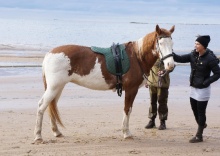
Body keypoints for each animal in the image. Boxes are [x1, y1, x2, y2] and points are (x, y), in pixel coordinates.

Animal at [34, 24, 175, 143]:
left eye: (172, 43)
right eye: (160, 43)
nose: (170, 65)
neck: (136, 56)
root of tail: (49, 54)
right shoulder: (131, 90)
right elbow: (127, 109)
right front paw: (126, 133)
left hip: (58, 88)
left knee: (51, 105)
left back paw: (56, 132)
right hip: (54, 87)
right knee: (41, 106)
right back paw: (38, 136)